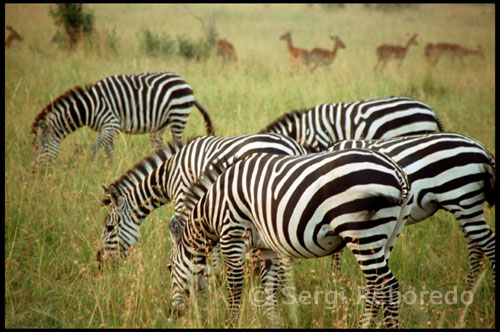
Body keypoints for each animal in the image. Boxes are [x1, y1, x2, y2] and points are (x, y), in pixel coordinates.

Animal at [29, 72, 213, 171]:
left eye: (39, 148)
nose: (34, 172)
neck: (89, 107)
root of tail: (184, 82)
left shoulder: (111, 124)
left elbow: (93, 149)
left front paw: (91, 168)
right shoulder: (108, 129)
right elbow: (109, 152)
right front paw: (110, 171)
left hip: (178, 116)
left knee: (177, 141)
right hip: (160, 124)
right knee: (157, 146)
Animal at [168, 149, 410, 328]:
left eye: (169, 267)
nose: (172, 313)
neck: (212, 208)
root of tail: (396, 170)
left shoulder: (232, 235)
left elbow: (235, 286)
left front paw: (230, 323)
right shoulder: (267, 247)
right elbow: (269, 287)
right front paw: (272, 321)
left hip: (362, 232)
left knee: (387, 286)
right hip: (387, 236)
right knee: (374, 287)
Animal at [328, 132, 496, 288]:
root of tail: (482, 148)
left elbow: (336, 253)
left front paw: (336, 282)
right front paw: (337, 281)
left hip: (462, 199)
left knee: (488, 244)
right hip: (465, 206)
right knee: (475, 247)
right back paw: (470, 290)